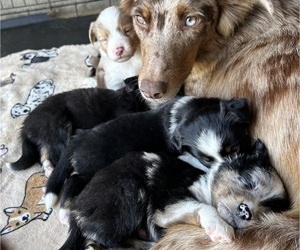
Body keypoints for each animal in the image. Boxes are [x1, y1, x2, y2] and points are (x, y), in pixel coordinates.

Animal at [8, 76, 149, 176]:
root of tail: (25, 128)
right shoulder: (124, 111)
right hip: (58, 125)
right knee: (57, 154)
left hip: (49, 135)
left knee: (44, 153)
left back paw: (49, 169)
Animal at [45, 96, 251, 225]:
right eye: (207, 160)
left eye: (234, 149)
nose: (226, 169)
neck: (187, 113)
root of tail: (78, 138)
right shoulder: (181, 154)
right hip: (91, 168)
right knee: (72, 180)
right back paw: (64, 213)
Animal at [59, 140, 290, 249]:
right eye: (248, 182)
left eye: (265, 210)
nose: (245, 212)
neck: (205, 187)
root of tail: (76, 211)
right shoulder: (166, 204)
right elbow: (204, 207)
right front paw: (220, 229)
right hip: (129, 189)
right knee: (104, 237)